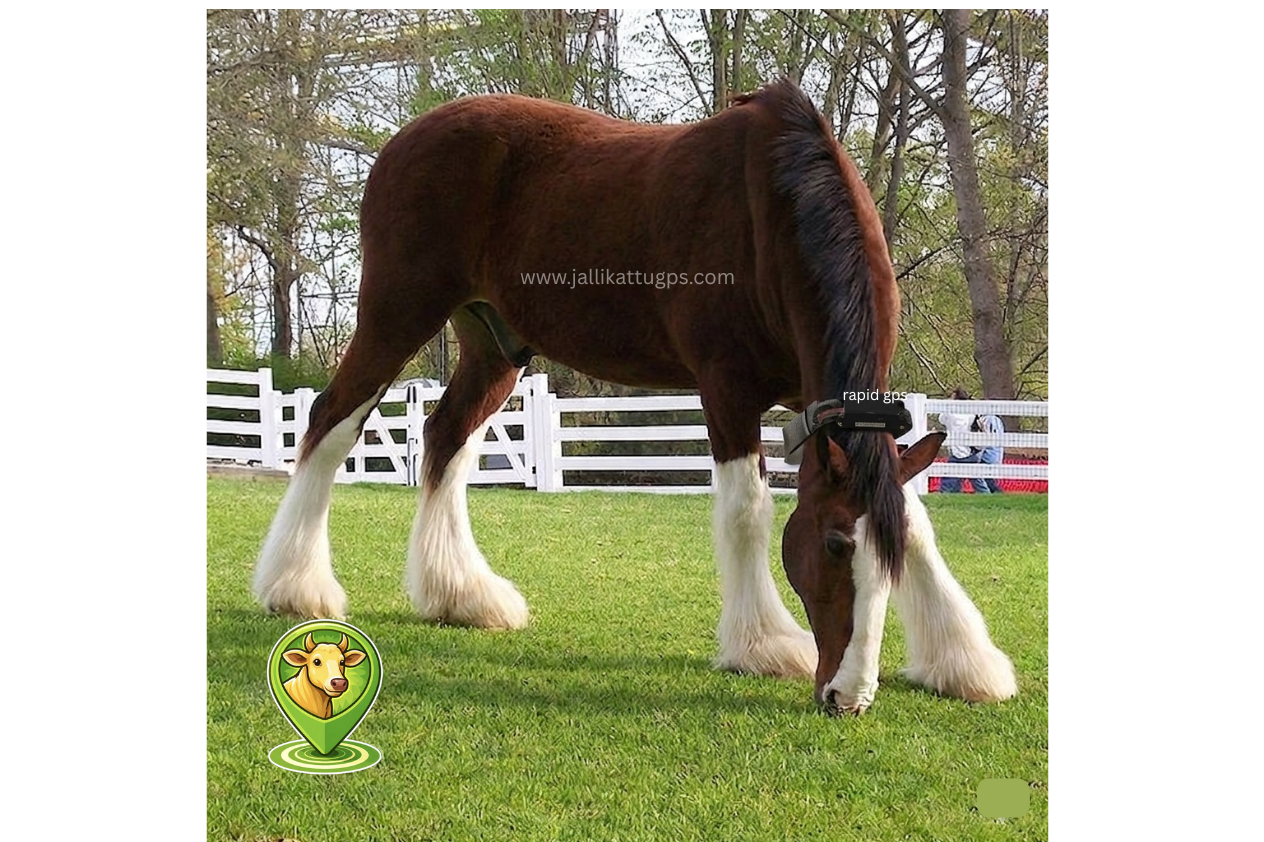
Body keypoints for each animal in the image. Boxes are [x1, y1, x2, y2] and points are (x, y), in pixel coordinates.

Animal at [252, 79, 1017, 714]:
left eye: (884, 561)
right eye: (831, 545)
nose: (847, 697)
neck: (774, 212)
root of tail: (406, 138)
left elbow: (913, 517)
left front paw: (964, 662)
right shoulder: (727, 389)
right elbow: (747, 511)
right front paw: (765, 645)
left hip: (494, 343)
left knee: (446, 438)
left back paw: (462, 596)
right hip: (397, 311)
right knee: (332, 423)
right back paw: (297, 587)